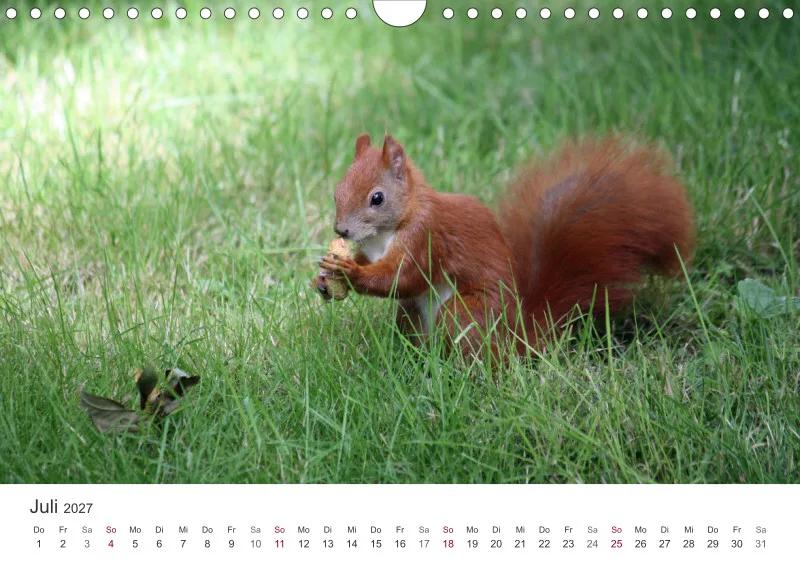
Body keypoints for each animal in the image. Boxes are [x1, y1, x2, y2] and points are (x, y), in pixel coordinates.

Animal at [314, 133, 694, 359]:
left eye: (377, 198)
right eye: (337, 189)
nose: (340, 229)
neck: (389, 230)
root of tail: (518, 339)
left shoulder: (425, 238)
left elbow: (401, 278)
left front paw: (348, 272)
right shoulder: (374, 248)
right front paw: (324, 279)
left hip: (466, 313)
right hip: (411, 316)